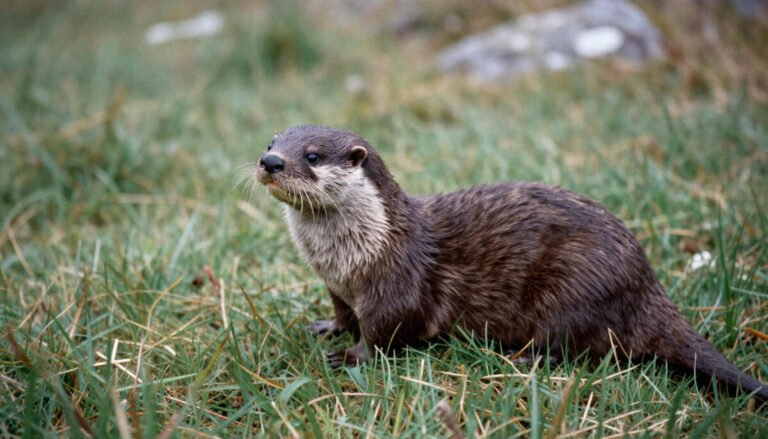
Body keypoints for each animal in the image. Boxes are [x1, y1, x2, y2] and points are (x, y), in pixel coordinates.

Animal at [252, 124, 767, 402]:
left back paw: (521, 357)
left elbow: (386, 332)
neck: (354, 255)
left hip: (577, 282)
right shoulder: (337, 286)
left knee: (575, 346)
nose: (270, 161)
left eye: (312, 155)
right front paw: (329, 329)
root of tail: (645, 282)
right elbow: (343, 313)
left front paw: (349, 356)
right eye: (274, 140)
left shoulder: (396, 284)